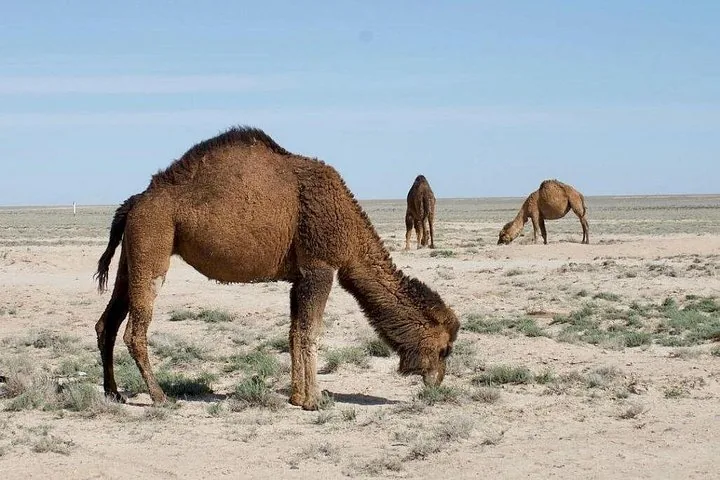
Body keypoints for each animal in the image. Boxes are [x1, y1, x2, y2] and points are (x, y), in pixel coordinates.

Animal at [94, 126, 459, 411]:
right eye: (444, 349)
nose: (437, 382)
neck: (351, 234)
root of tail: (134, 202)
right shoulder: (319, 267)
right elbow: (310, 332)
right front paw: (315, 400)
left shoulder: (298, 278)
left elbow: (293, 333)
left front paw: (298, 397)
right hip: (153, 241)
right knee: (134, 330)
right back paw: (159, 397)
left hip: (132, 253)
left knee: (107, 323)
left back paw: (114, 393)